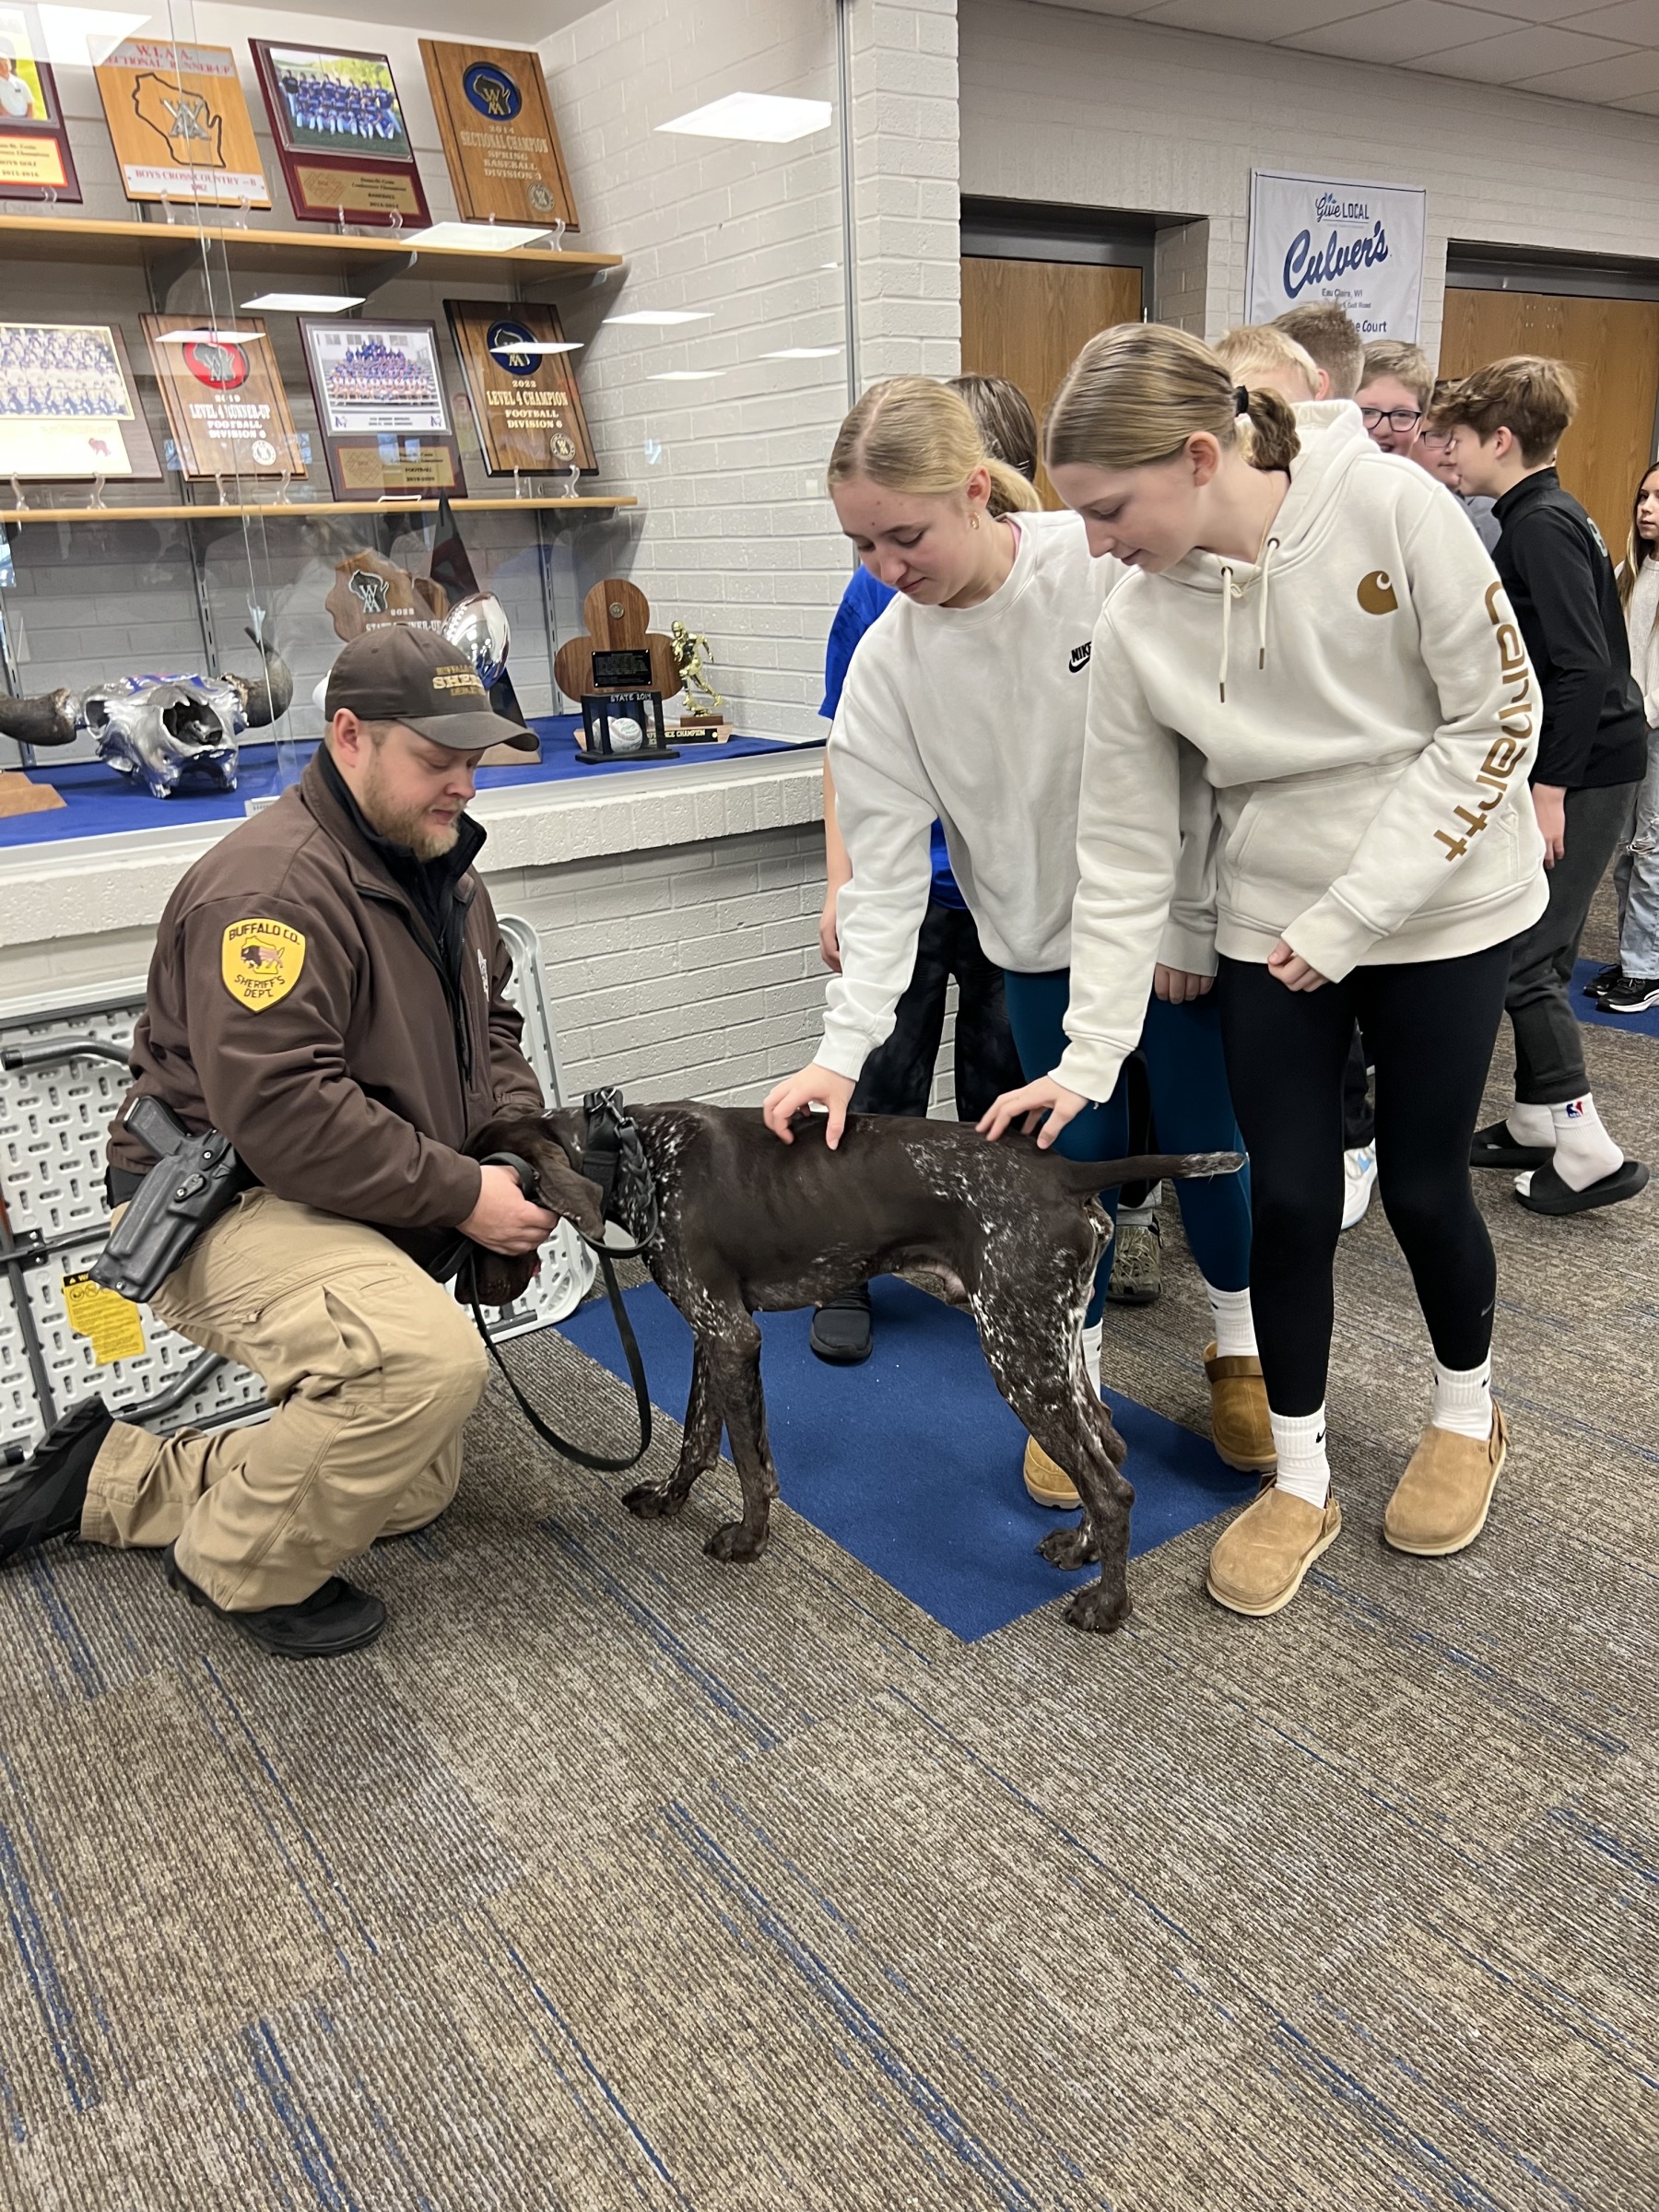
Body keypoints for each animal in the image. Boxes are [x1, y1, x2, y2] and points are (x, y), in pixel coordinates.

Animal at [462, 1101, 1239, 1637]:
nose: (472, 1293)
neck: (635, 1154)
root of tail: (1062, 1170)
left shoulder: (732, 1334)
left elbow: (749, 1462)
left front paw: (747, 1540)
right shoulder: (711, 1333)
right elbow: (697, 1436)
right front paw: (668, 1499)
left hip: (1017, 1352)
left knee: (1112, 1486)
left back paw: (1107, 1604)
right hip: (1052, 1346)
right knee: (1107, 1446)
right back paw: (1080, 1549)